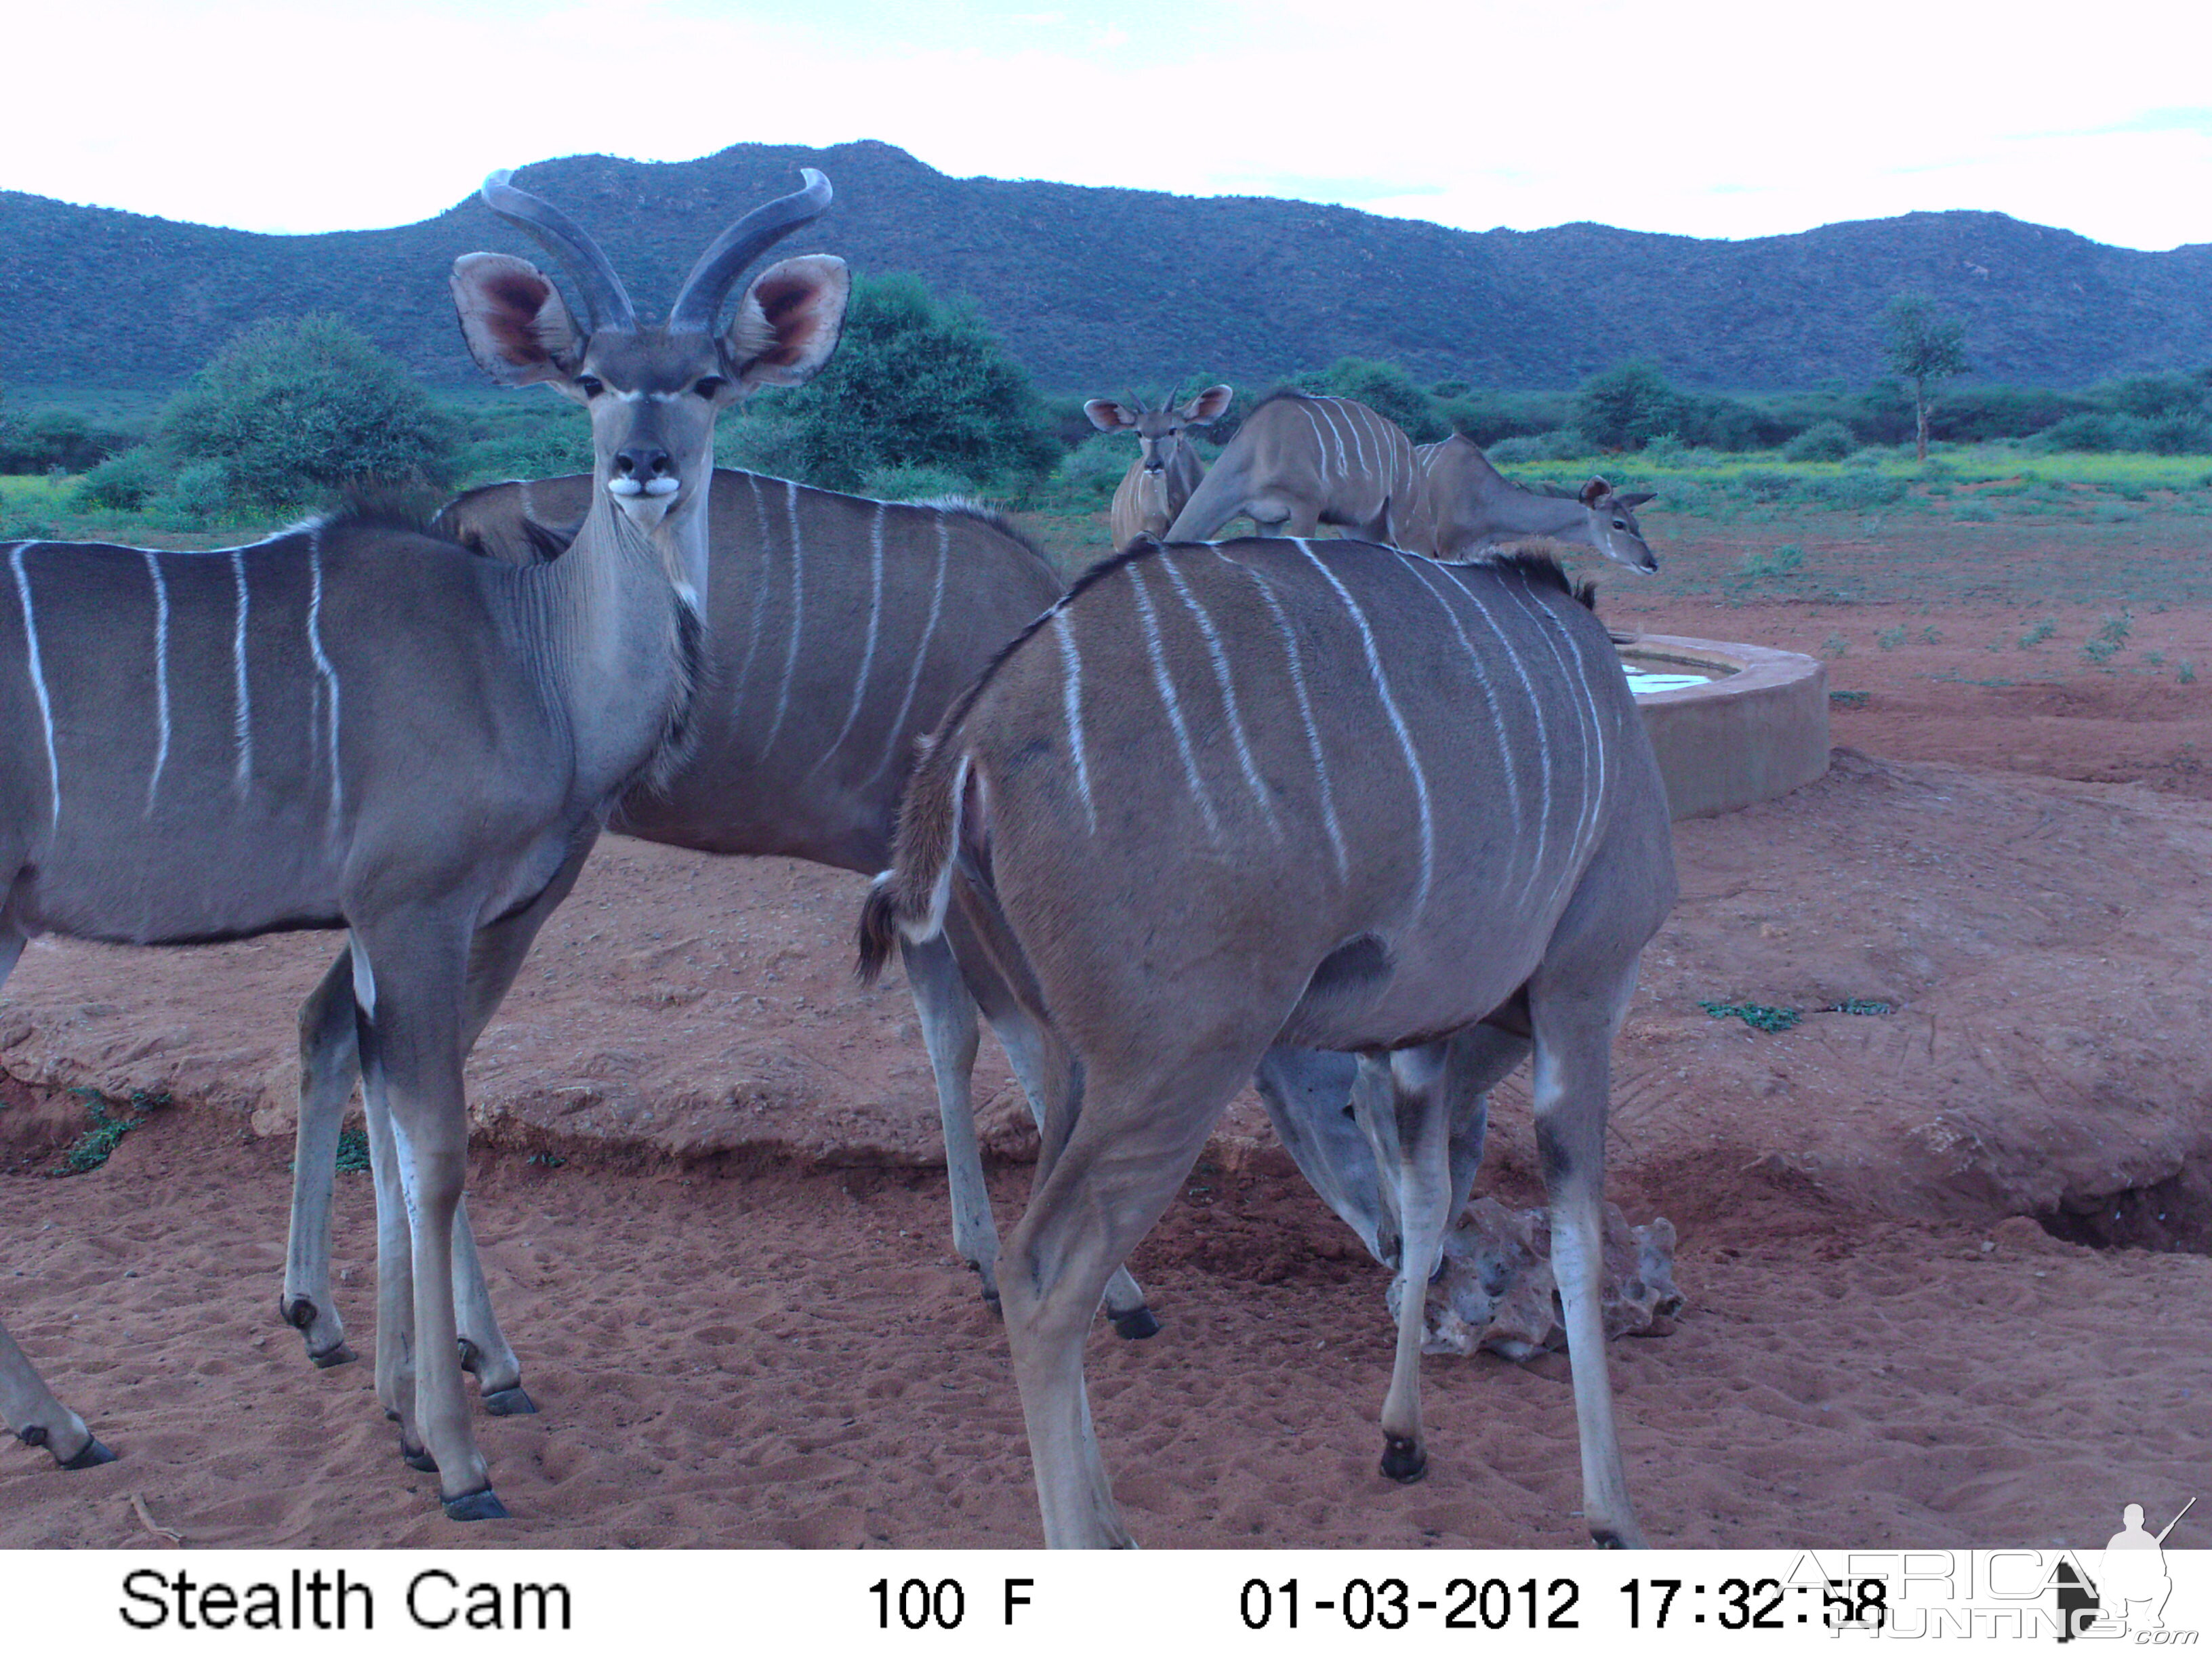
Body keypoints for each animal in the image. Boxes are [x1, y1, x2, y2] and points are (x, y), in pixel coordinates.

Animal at [0, 169, 849, 1521]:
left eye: (710, 378)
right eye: (592, 379)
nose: (643, 468)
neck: (527, 652)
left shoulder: (404, 924)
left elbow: (390, 1126)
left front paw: (401, 1404)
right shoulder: (419, 910)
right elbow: (435, 1148)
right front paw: (453, 1453)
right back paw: (67, 1424)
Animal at [279, 473, 1168, 1397]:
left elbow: (951, 1038)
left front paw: (986, 1257)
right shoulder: (962, 867)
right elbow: (1038, 1047)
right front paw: (1112, 1290)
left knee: (334, 1025)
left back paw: (329, 1321)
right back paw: (484, 1357)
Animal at [858, 539, 1672, 1557]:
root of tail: (972, 739)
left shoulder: (1424, 1043)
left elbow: (1430, 1198)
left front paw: (1404, 1437)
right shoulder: (1585, 986)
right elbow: (1574, 1237)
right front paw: (1616, 1516)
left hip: (1075, 1056)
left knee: (1035, 1253)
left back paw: (1116, 1524)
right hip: (1179, 1062)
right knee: (1041, 1277)